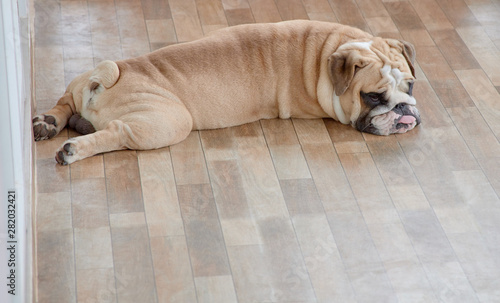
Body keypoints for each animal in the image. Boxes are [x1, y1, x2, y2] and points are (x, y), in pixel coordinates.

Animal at [33, 20, 420, 166]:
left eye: (411, 86)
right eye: (373, 97)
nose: (405, 109)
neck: (327, 54)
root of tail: (108, 79)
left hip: (81, 82)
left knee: (66, 100)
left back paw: (48, 122)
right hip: (168, 121)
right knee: (116, 132)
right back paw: (73, 149)